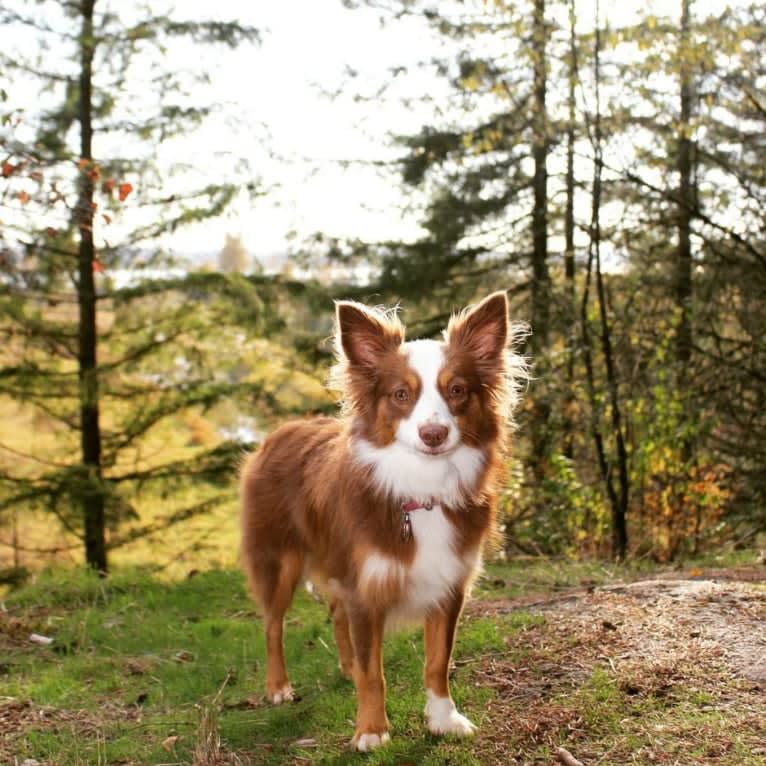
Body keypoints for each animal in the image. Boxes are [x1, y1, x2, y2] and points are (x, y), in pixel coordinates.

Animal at [240, 292, 528, 752]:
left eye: (457, 391)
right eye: (400, 394)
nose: (433, 435)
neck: (421, 493)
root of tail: (283, 430)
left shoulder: (448, 584)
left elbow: (437, 662)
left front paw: (443, 719)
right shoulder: (366, 590)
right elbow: (374, 674)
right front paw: (371, 731)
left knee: (336, 613)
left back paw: (345, 667)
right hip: (278, 560)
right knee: (272, 624)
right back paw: (278, 686)